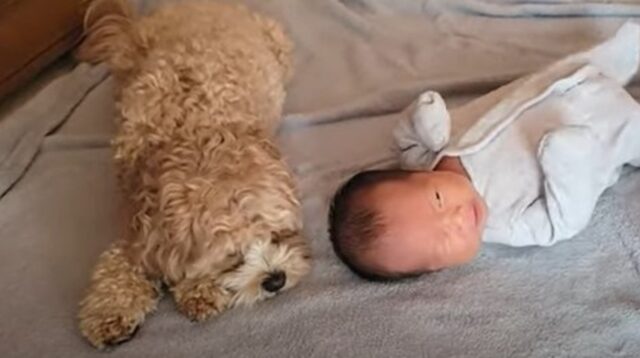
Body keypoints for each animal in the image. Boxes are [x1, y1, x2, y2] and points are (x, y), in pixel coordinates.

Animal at [76, 0, 312, 348]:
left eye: (278, 234)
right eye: (232, 256)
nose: (275, 280)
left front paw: (197, 290)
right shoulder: (134, 226)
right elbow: (115, 266)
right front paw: (109, 314)